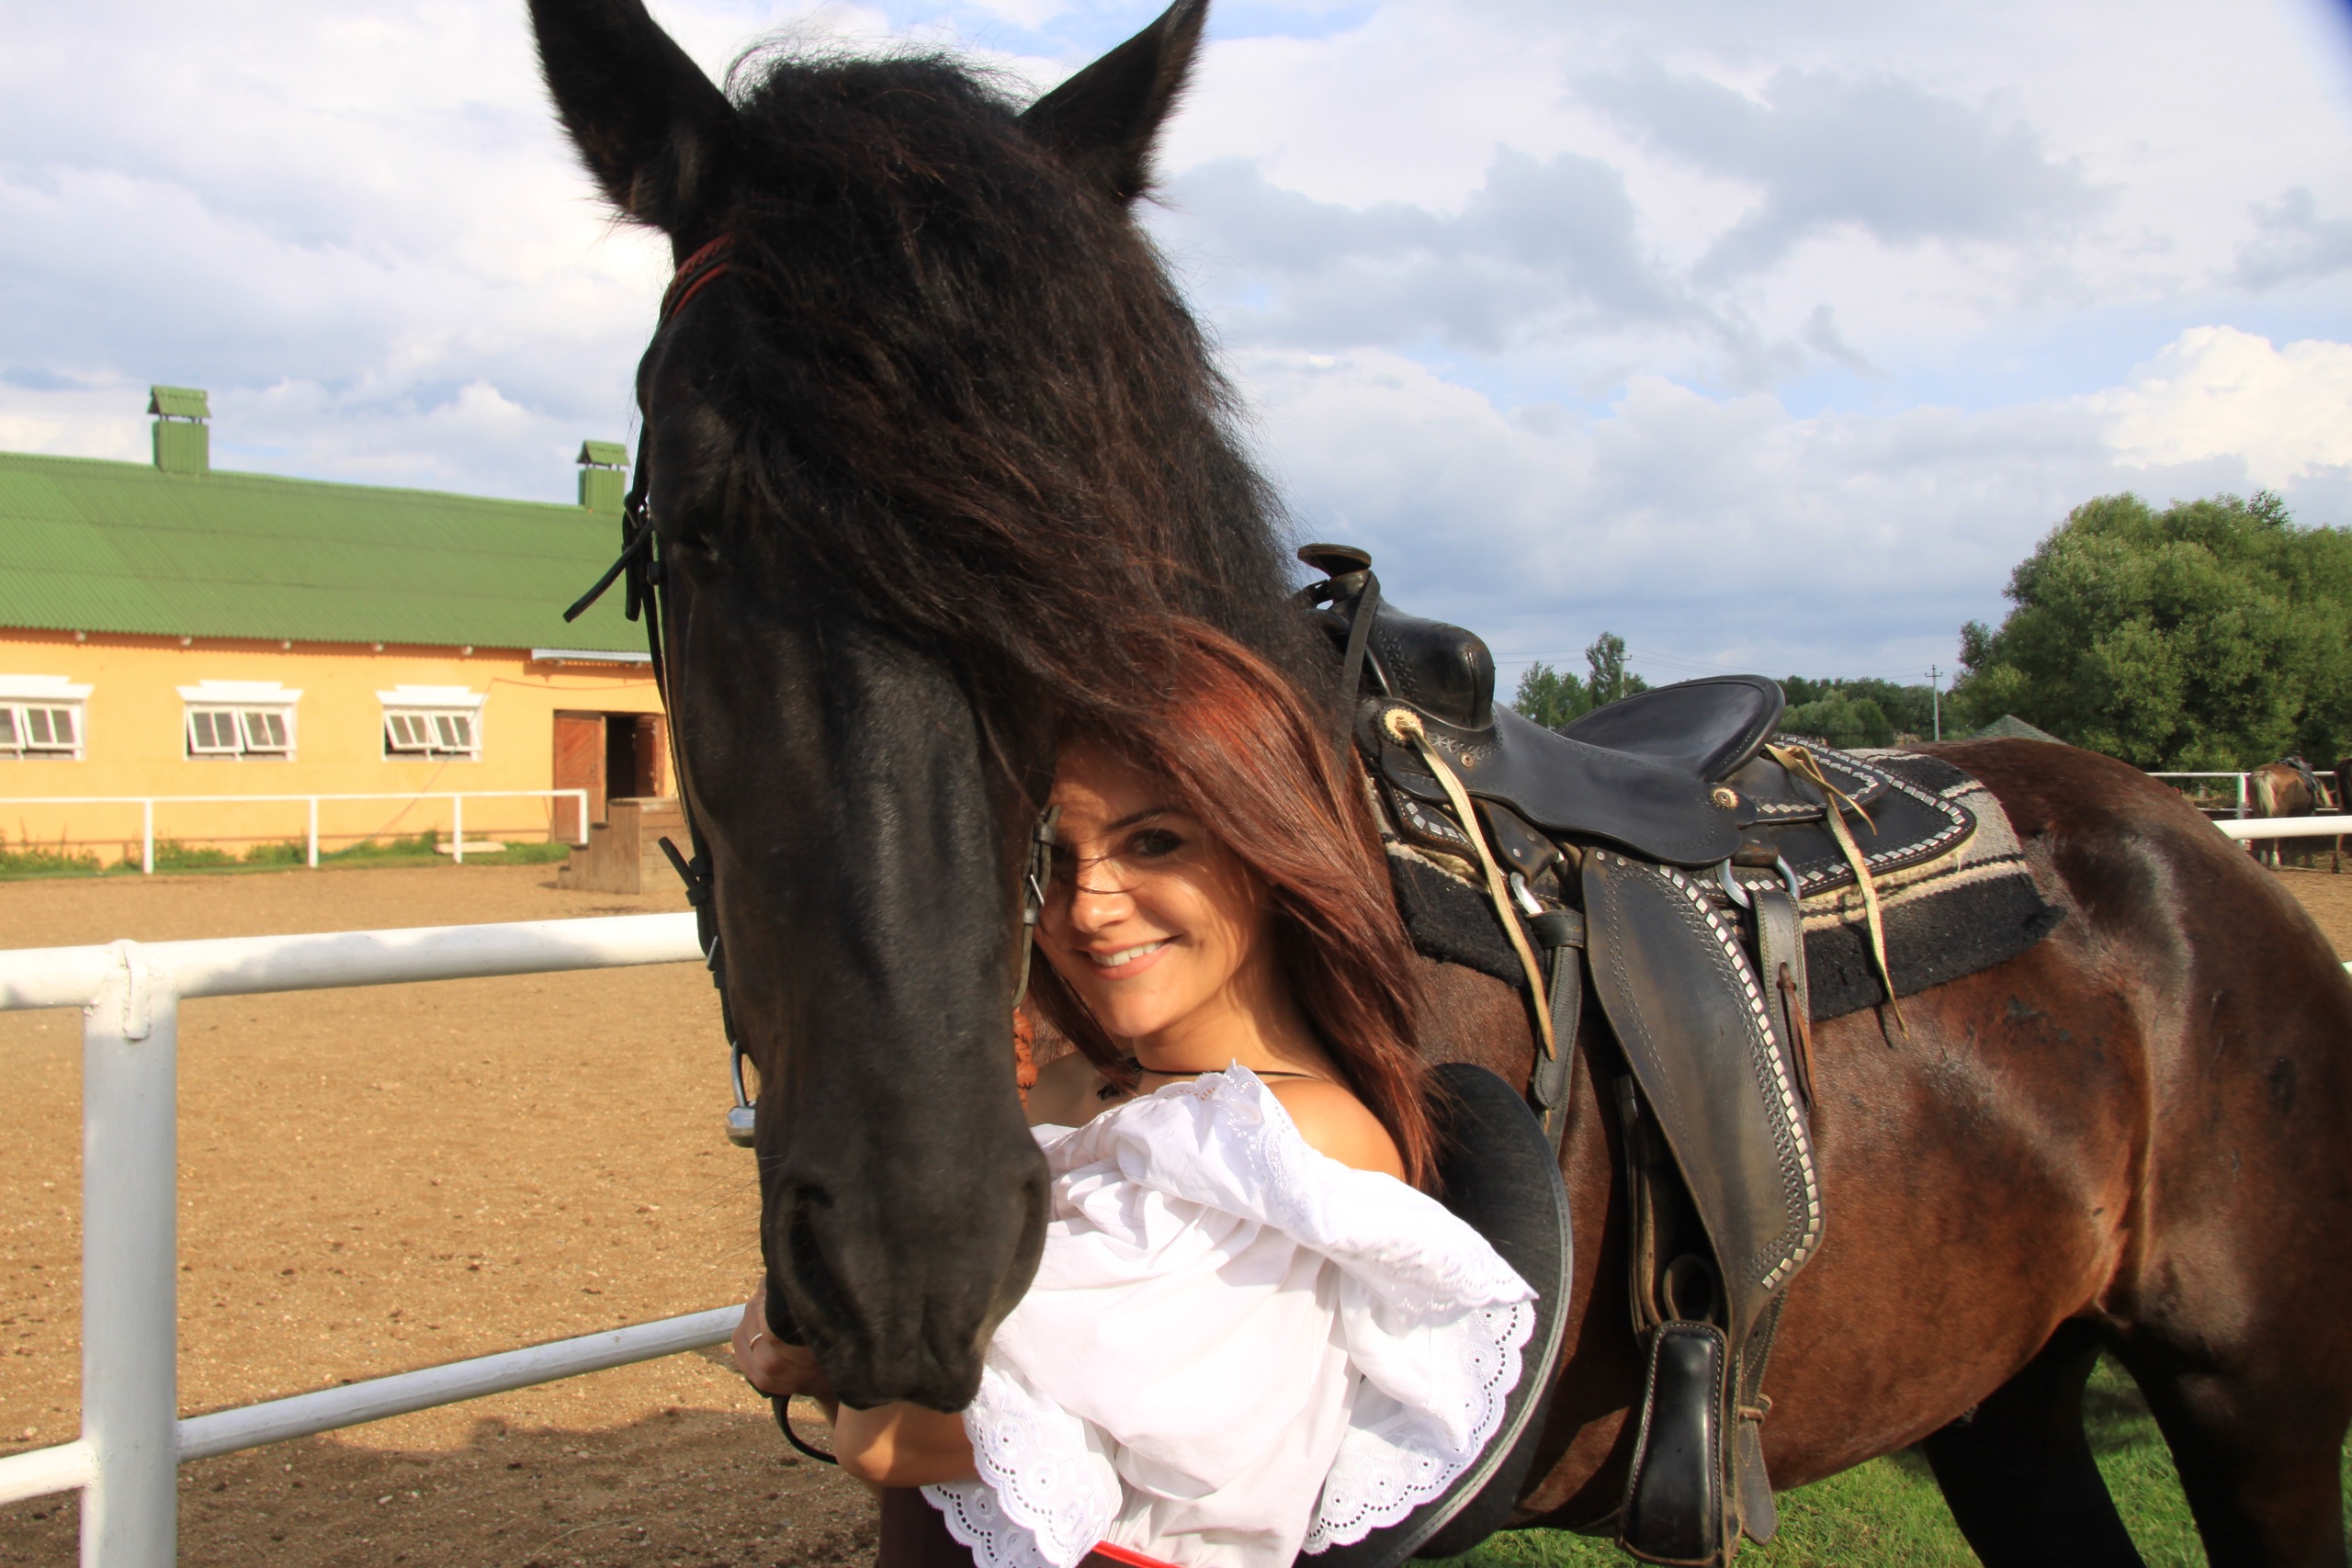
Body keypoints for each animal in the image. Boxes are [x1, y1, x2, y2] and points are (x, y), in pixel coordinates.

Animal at [525, 3, 2352, 1562]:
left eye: (1078, 571)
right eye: (694, 521)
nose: (919, 1254)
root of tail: (2193, 854)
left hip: (2255, 1403)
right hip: (2003, 1398)